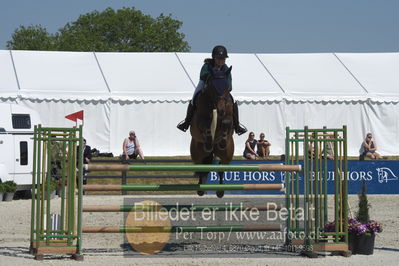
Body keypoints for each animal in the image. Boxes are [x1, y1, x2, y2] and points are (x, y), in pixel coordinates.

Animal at [190, 66, 234, 197]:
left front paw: (223, 139)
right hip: (196, 153)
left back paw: (220, 191)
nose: (221, 110)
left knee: (221, 168)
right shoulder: (199, 120)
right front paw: (209, 141)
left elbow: (227, 121)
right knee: (201, 167)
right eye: (213, 88)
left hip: (226, 154)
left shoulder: (228, 117)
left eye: (227, 87)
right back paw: (201, 190)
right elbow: (205, 125)